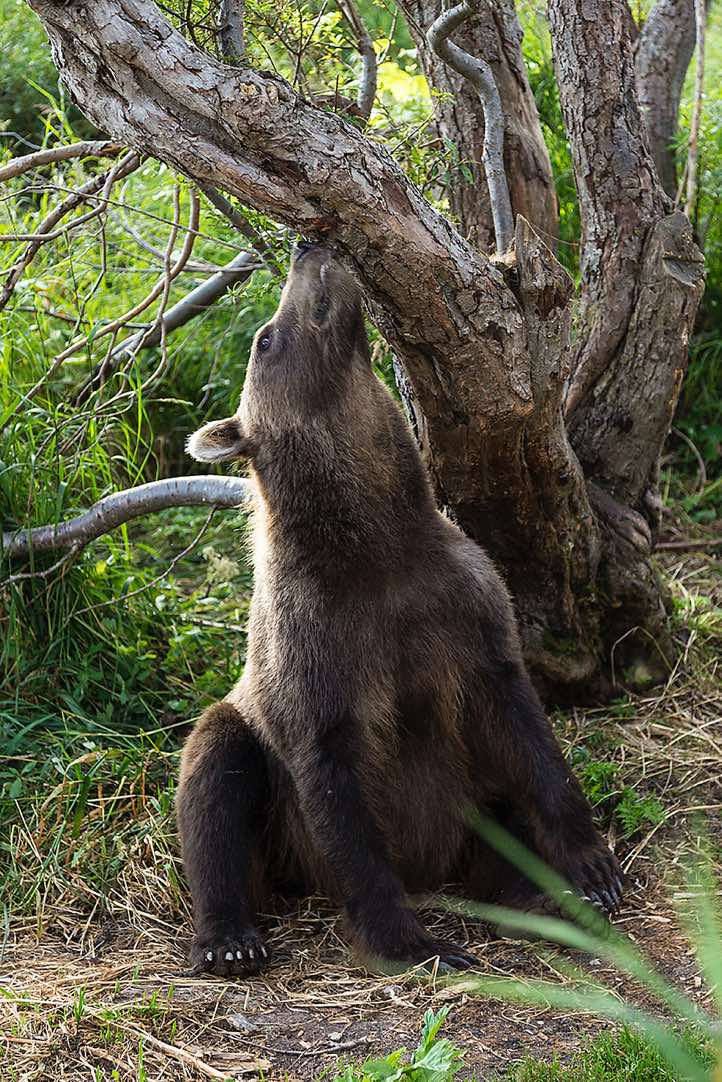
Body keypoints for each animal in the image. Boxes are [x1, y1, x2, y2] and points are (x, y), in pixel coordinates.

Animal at [176, 242, 623, 976]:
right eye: (266, 338)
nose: (306, 245)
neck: (374, 545)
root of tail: (431, 870)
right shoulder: (316, 648)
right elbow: (339, 797)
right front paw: (412, 940)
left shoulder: (463, 606)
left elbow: (529, 738)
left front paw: (592, 870)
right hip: (265, 790)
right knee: (216, 778)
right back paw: (230, 938)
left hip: (471, 806)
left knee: (503, 810)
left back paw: (535, 895)